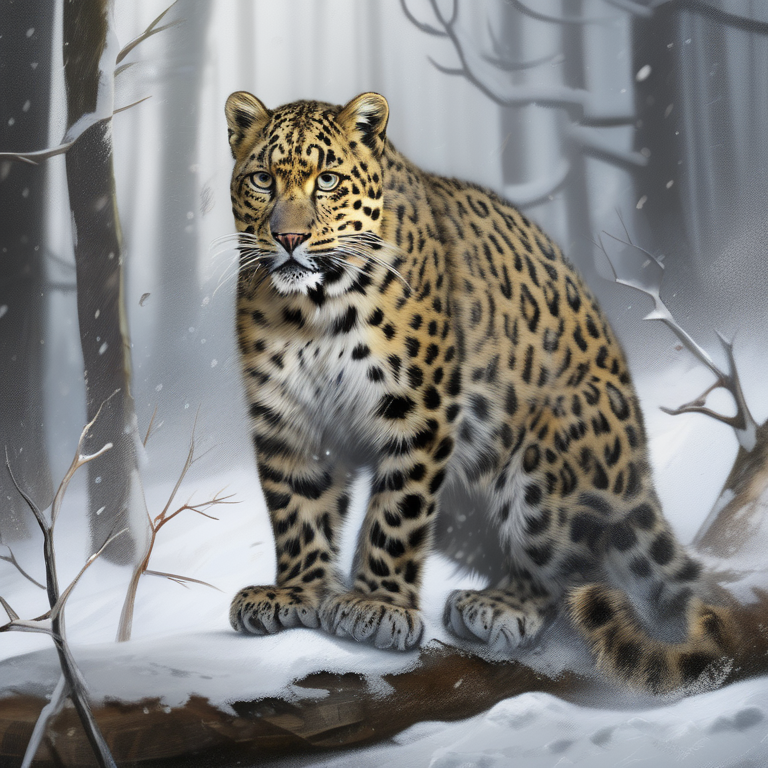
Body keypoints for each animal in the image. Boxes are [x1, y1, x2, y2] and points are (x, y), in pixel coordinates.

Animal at [224, 91, 738, 694]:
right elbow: (297, 507)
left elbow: (397, 514)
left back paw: (499, 607)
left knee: (570, 577)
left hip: (544, 461)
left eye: (326, 180)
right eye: (262, 180)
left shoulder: (418, 407)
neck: (311, 310)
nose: (288, 239)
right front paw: (295, 594)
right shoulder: (288, 417)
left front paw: (375, 605)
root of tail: (640, 470)